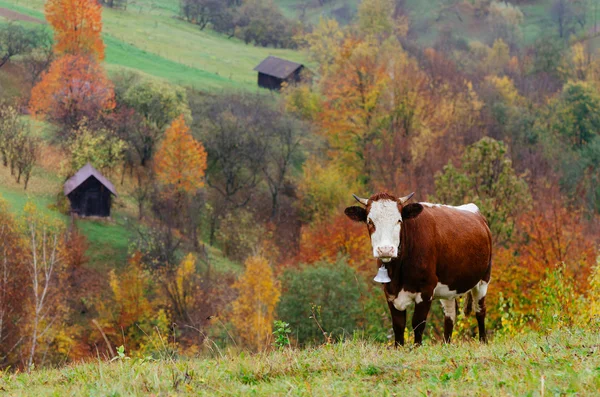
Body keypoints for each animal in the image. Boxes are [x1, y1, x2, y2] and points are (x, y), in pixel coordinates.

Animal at [342, 192, 492, 344]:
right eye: (370, 221)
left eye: (399, 220)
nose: (385, 250)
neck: (398, 273)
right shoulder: (389, 291)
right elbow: (398, 325)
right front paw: (398, 346)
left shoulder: (426, 289)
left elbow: (418, 323)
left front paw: (417, 346)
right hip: (449, 285)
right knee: (450, 315)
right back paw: (446, 344)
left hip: (483, 279)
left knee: (480, 310)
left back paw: (483, 341)